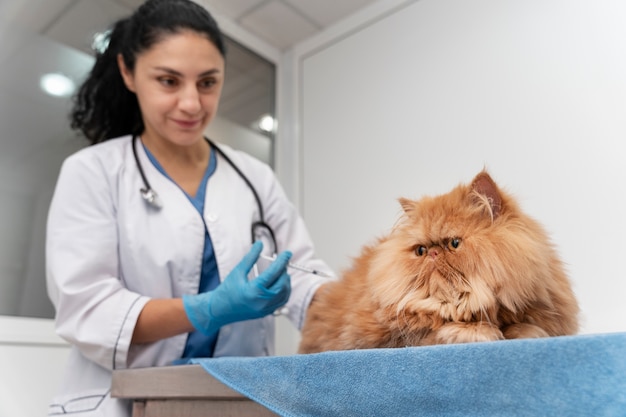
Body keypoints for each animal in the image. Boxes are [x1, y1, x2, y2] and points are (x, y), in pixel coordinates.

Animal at [300, 171, 576, 352]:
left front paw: (522, 332)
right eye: (421, 250)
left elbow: (528, 326)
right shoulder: (385, 338)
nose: (432, 254)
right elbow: (436, 330)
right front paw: (478, 332)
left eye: (454, 243)